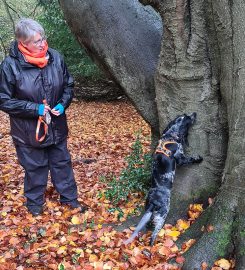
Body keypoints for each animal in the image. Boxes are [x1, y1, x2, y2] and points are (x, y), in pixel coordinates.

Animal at [124, 113, 203, 246]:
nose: (195, 113)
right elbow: (190, 159)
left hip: (149, 213)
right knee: (153, 235)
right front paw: (199, 159)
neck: (170, 135)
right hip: (162, 215)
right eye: (188, 117)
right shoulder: (180, 158)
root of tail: (153, 202)